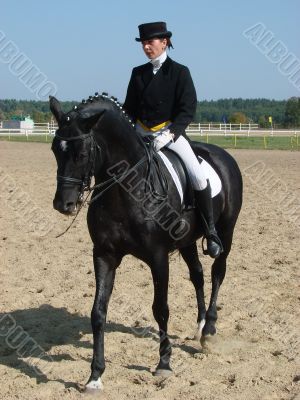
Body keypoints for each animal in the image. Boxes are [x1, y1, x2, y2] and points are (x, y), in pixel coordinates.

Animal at [48, 93, 241, 390]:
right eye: (55, 150)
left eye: (82, 154)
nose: (63, 205)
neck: (127, 187)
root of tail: (222, 155)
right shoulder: (104, 255)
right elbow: (98, 312)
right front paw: (95, 376)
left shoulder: (158, 258)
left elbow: (160, 309)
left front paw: (164, 364)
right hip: (186, 242)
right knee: (197, 275)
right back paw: (198, 327)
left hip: (226, 233)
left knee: (217, 272)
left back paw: (208, 329)